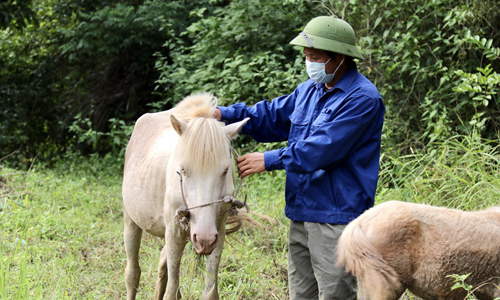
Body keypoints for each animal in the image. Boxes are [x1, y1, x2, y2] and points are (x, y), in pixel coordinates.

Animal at [122, 92, 249, 298]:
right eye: (183, 170)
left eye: (225, 170)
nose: (204, 238)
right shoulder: (174, 232)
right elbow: (171, 291)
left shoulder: (218, 232)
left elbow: (210, 291)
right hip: (131, 221)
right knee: (133, 274)